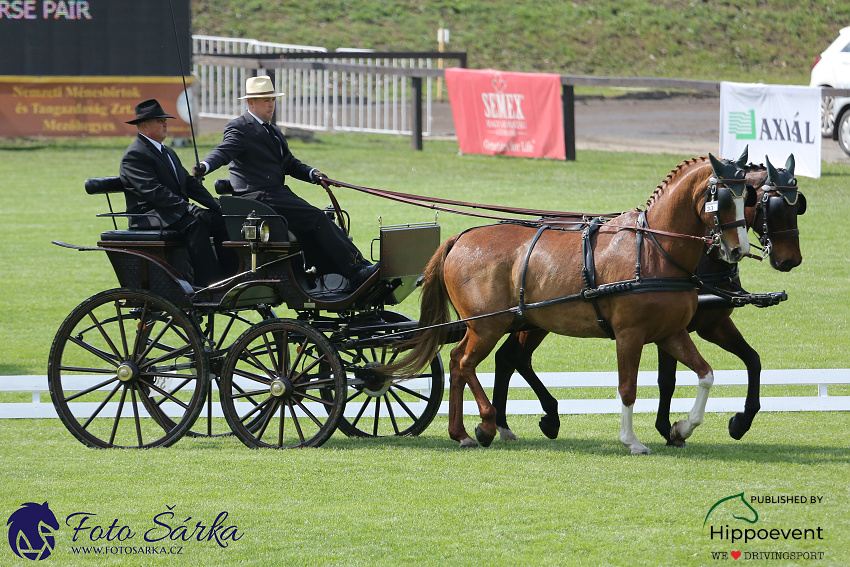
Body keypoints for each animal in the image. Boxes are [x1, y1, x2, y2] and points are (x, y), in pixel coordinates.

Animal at [390, 154, 748, 452]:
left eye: (749, 198)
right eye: (724, 199)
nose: (737, 250)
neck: (653, 250)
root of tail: (460, 237)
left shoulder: (671, 333)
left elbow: (705, 375)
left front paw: (681, 428)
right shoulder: (629, 335)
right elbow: (628, 388)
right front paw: (631, 441)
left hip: (496, 325)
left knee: (458, 361)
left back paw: (462, 432)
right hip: (487, 325)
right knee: (465, 362)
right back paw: (487, 424)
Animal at [490, 156, 800, 448]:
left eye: (798, 207)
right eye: (771, 206)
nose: (791, 260)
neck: (661, 247)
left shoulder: (710, 324)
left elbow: (751, 361)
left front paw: (737, 423)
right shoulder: (671, 329)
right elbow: (666, 380)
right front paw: (667, 428)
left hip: (533, 320)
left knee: (509, 357)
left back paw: (515, 421)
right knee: (512, 357)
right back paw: (526, 419)